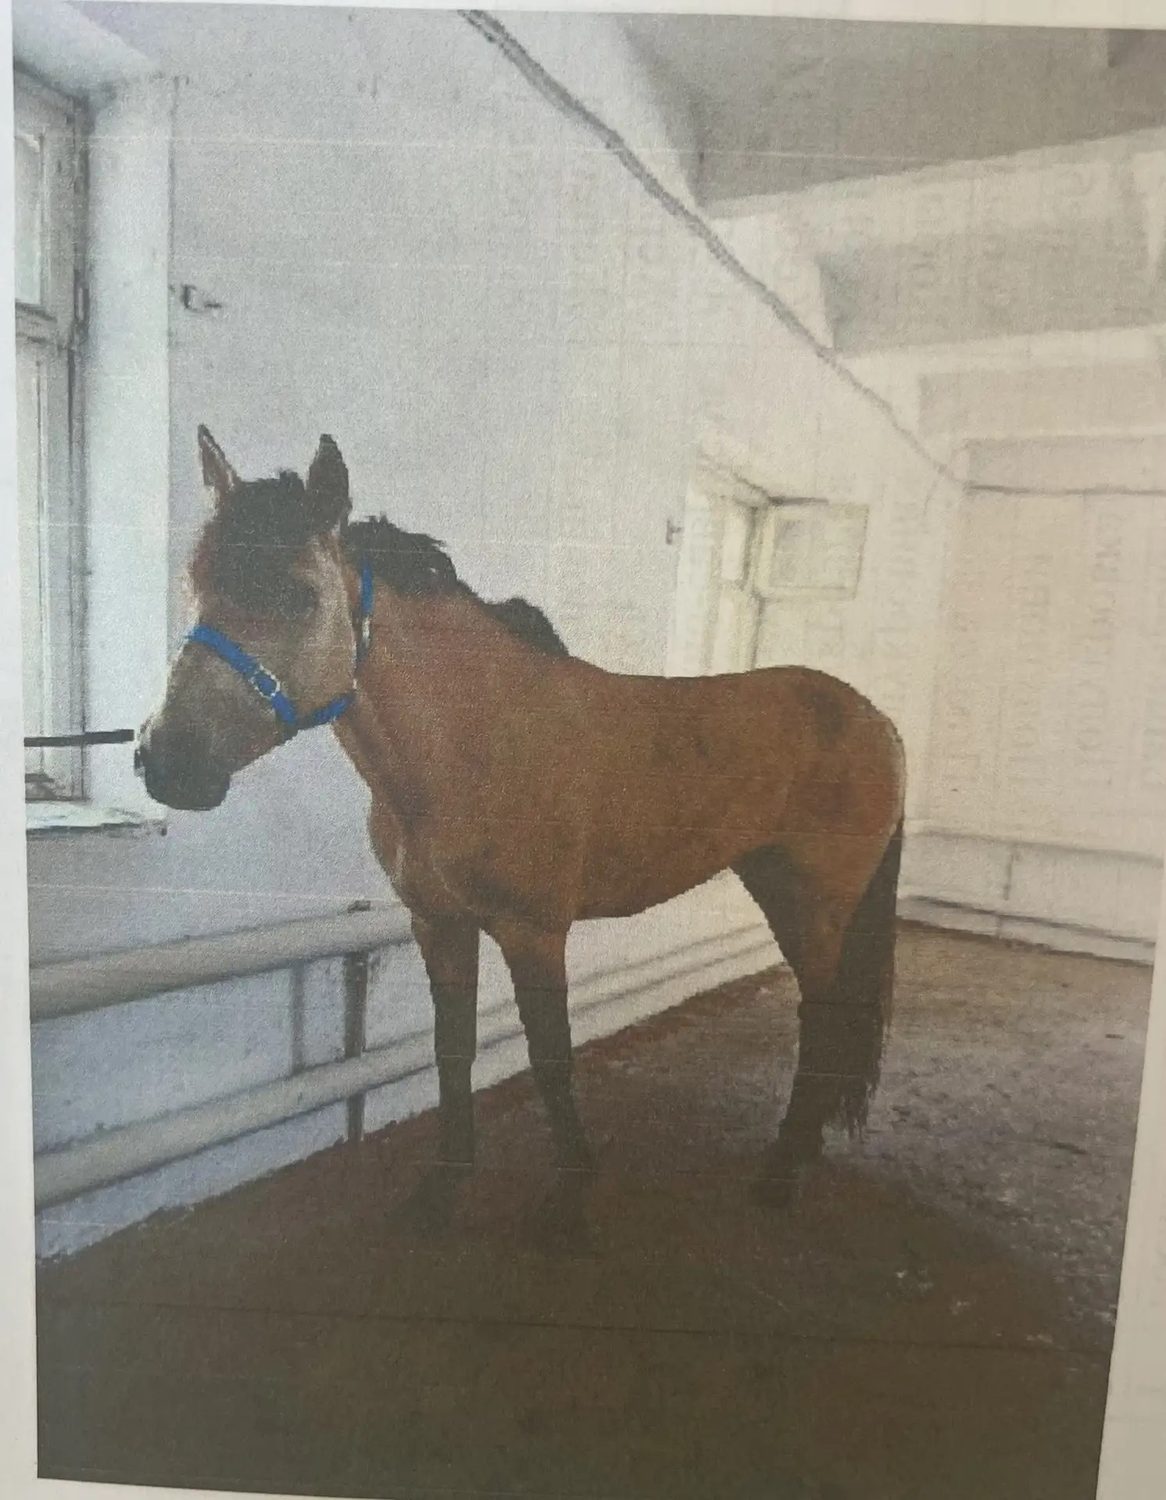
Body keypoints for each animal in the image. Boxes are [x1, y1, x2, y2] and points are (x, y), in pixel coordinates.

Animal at [137, 428, 906, 1220]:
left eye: (298, 594)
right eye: (197, 584)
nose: (164, 761)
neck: (472, 744)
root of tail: (876, 720)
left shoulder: (534, 932)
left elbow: (549, 1057)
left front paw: (570, 1198)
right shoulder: (439, 923)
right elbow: (453, 1049)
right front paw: (444, 1188)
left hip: (817, 907)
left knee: (825, 1018)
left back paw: (782, 1172)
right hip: (776, 886)